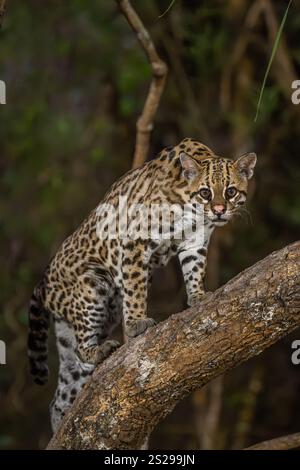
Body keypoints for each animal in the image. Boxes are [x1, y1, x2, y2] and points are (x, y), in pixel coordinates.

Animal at [28, 138, 256, 432]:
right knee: (82, 348)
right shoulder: (134, 242)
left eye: (230, 191)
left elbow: (195, 270)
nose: (219, 211)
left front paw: (198, 296)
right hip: (92, 288)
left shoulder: (195, 242)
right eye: (206, 192)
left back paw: (64, 427)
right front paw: (137, 323)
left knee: (63, 389)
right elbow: (136, 289)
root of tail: (44, 282)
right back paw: (100, 350)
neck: (190, 206)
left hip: (79, 329)